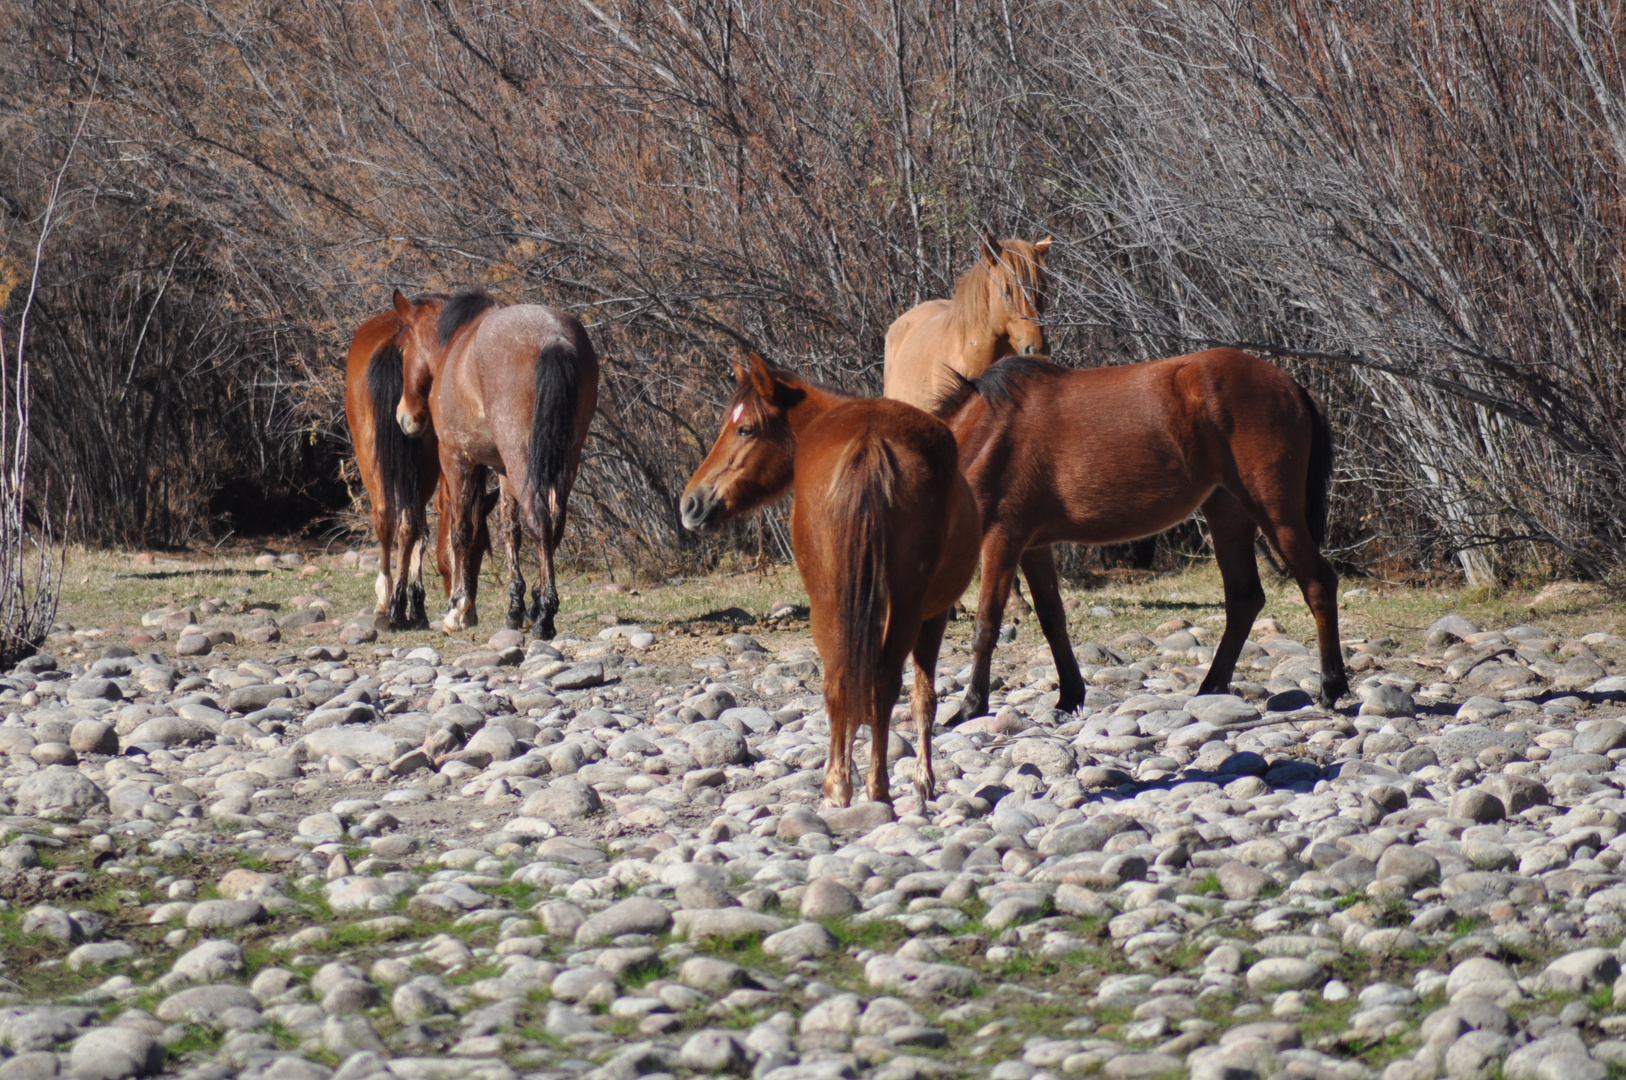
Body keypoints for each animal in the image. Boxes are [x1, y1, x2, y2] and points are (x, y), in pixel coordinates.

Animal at [391, 289, 598, 640]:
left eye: (403, 348)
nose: (405, 418)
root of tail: (553, 336)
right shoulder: (502, 470)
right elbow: (508, 530)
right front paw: (516, 608)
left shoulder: (458, 459)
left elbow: (461, 530)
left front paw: (459, 608)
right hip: (561, 458)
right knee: (554, 521)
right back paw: (538, 605)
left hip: (519, 456)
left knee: (539, 518)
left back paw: (545, 616)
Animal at [676, 357, 975, 806]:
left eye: (744, 429)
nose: (691, 504)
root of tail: (870, 439)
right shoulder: (932, 614)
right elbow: (923, 696)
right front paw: (923, 779)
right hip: (899, 608)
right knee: (880, 682)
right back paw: (873, 786)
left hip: (833, 603)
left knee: (841, 681)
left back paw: (841, 784)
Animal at [936, 348, 1352, 715]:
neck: (989, 433)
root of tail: (1293, 386)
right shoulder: (1033, 546)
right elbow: (1052, 618)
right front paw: (1069, 696)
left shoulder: (1003, 539)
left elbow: (986, 624)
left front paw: (971, 706)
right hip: (1228, 511)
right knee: (1244, 598)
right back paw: (1210, 687)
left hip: (1276, 513)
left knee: (1317, 583)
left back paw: (1330, 688)